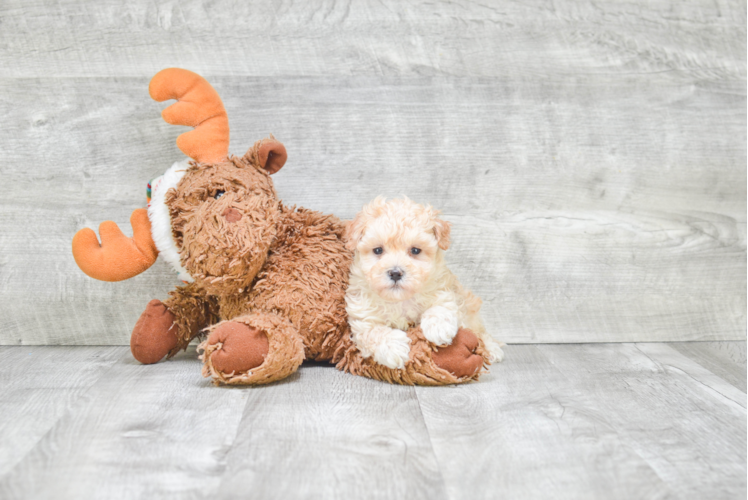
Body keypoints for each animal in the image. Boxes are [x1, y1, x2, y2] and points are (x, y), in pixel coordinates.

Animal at [344, 197, 502, 370]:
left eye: (415, 250)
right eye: (378, 250)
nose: (395, 273)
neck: (400, 300)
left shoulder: (444, 288)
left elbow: (442, 305)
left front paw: (438, 327)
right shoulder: (363, 315)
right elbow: (372, 332)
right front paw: (393, 347)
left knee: (479, 330)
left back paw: (493, 349)